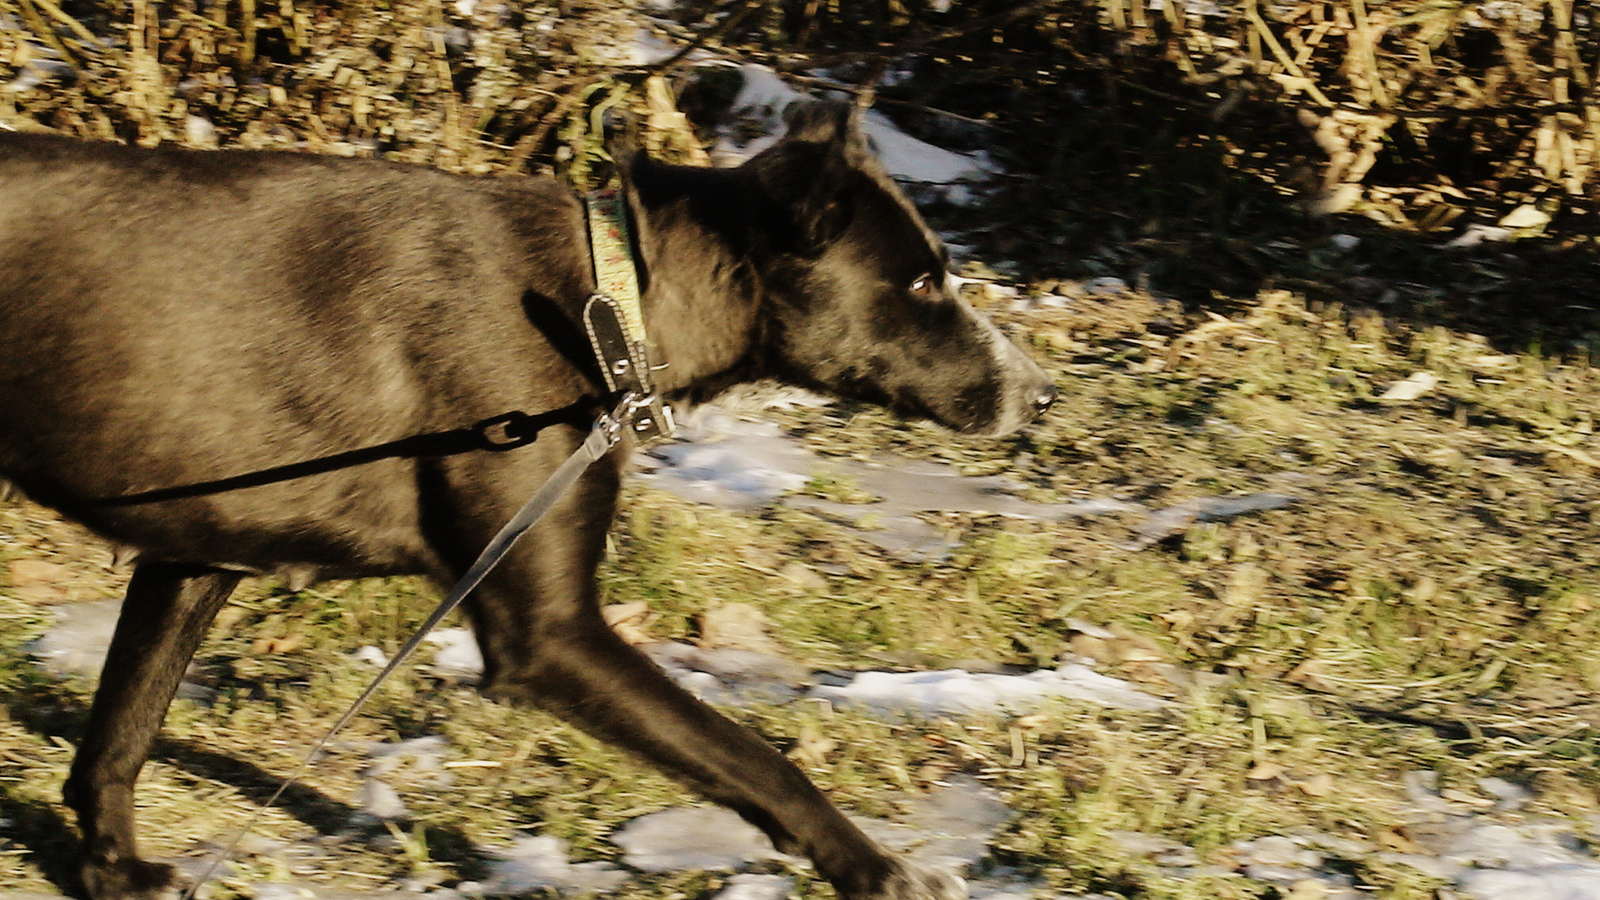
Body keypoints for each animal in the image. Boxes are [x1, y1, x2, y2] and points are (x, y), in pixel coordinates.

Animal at [0, 101, 1056, 896]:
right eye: (919, 284)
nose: (1039, 394)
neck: (616, 301)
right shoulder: (546, 635)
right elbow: (757, 757)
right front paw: (882, 873)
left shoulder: (192, 555)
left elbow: (119, 735)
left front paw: (110, 871)